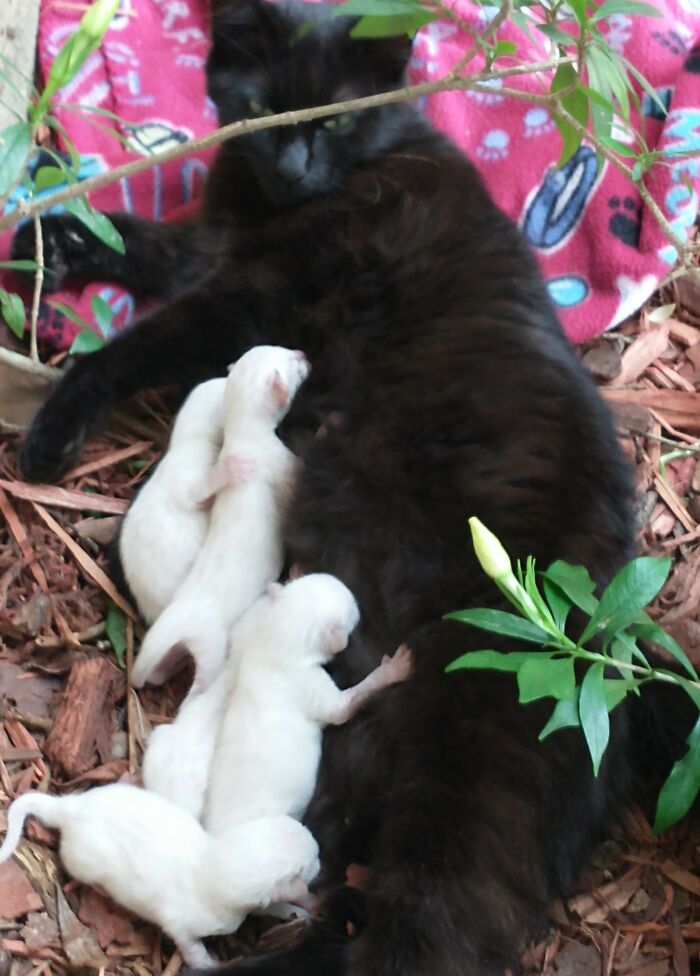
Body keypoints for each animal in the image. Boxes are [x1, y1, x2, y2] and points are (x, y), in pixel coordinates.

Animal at [0, 784, 318, 968]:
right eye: (310, 861)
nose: (320, 858)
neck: (212, 864)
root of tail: (71, 808)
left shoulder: (254, 903)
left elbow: (276, 906)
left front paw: (306, 908)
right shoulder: (182, 926)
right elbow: (192, 949)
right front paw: (211, 965)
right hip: (82, 862)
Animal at [129, 346, 308, 692]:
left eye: (278, 349)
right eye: (290, 363)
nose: (302, 353)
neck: (244, 434)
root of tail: (174, 619)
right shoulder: (283, 465)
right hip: (208, 647)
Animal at [202, 576, 412, 836]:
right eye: (354, 611)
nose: (355, 597)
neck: (276, 640)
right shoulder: (308, 683)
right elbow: (342, 709)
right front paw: (392, 670)